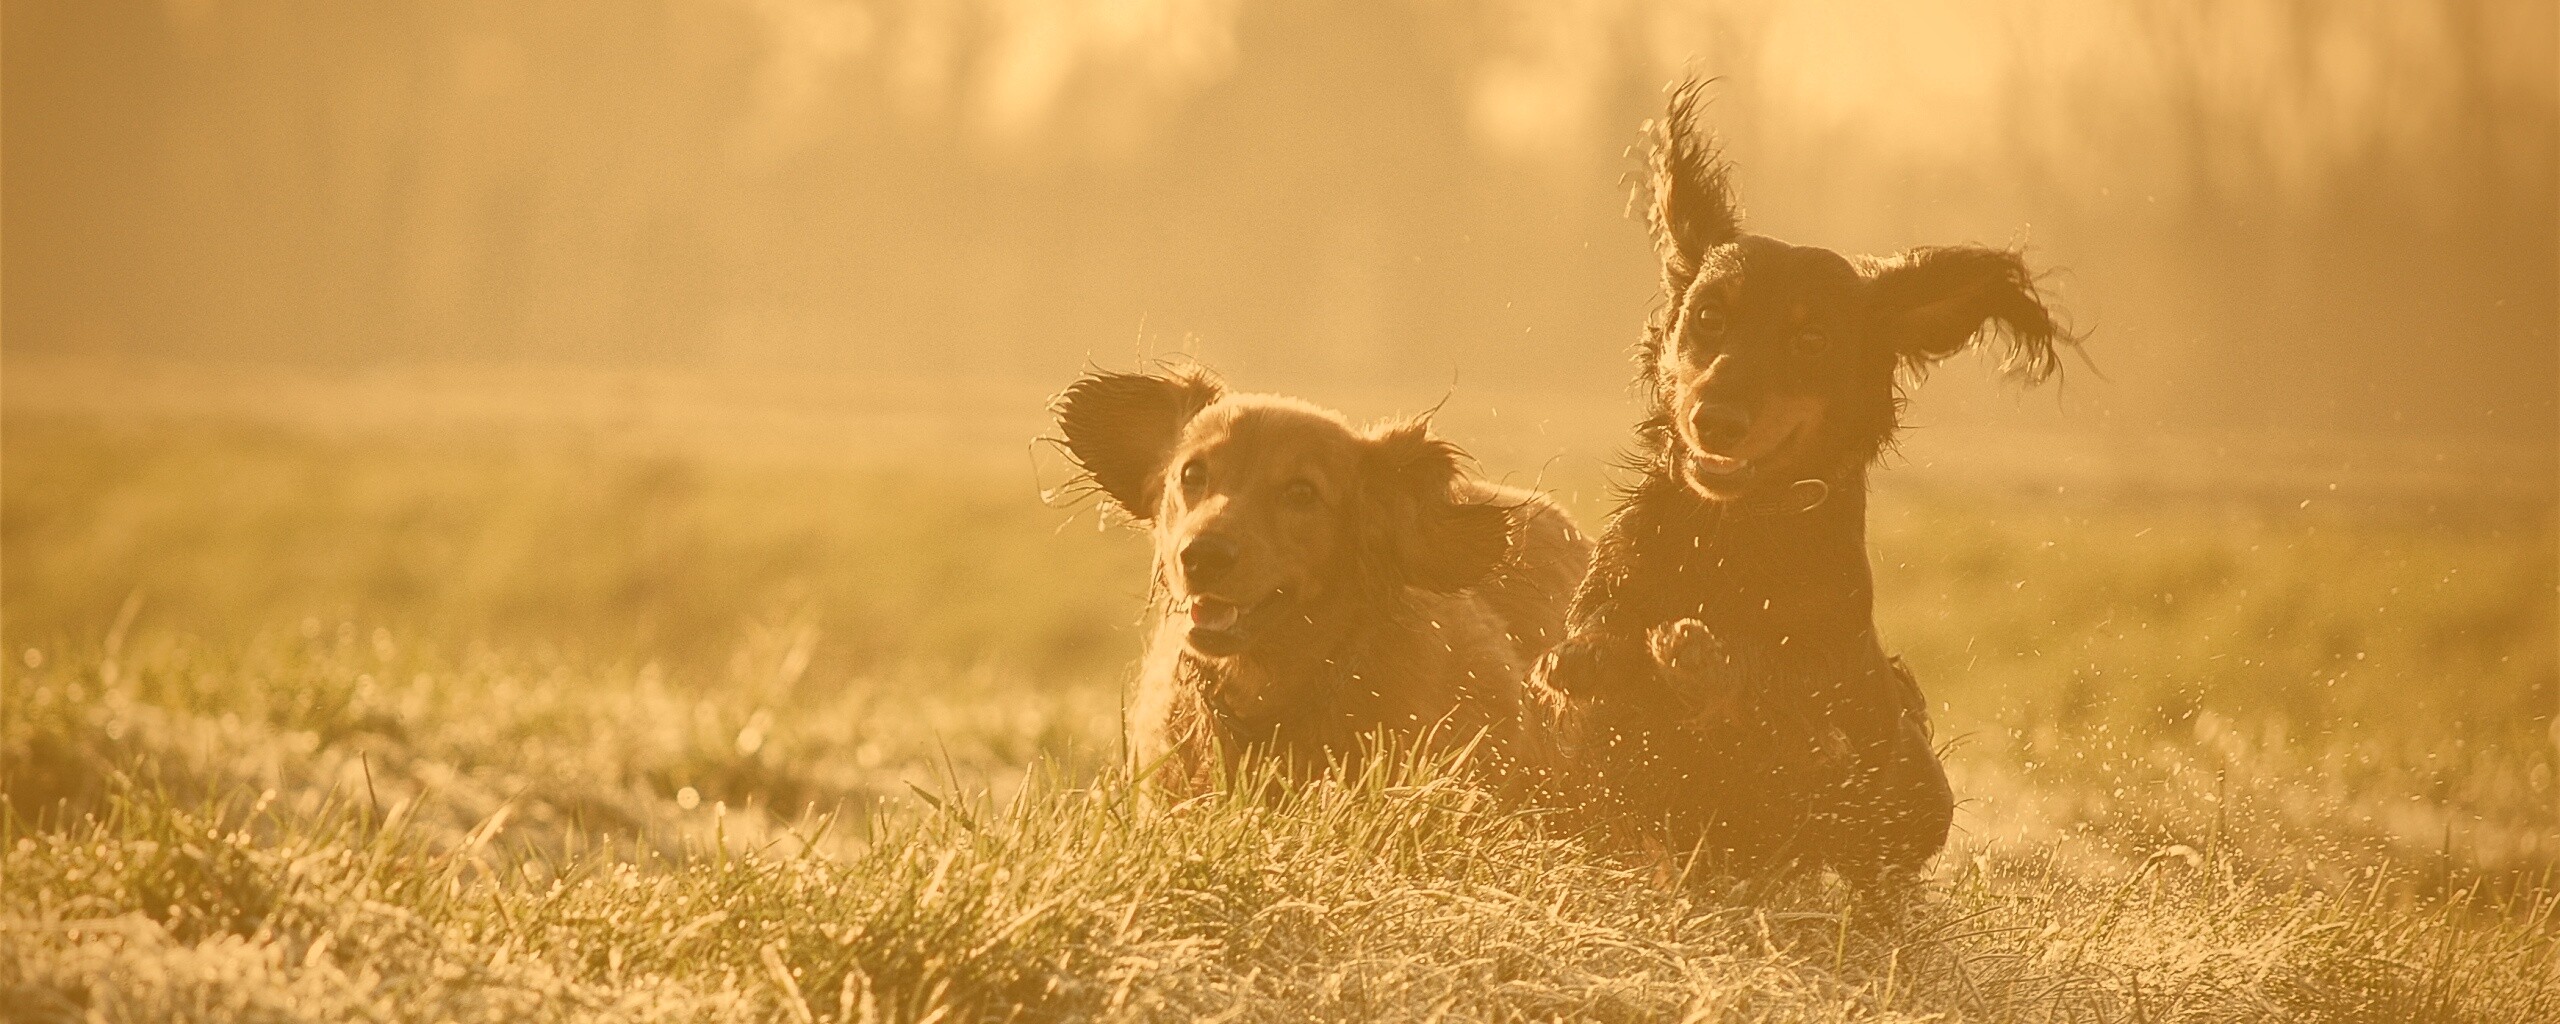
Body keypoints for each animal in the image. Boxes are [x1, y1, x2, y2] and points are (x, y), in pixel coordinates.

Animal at [1525, 83, 2068, 885]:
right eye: (1708, 317)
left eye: (1810, 340)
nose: (1714, 421)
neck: (1734, 533)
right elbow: (1599, 657)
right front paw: (1596, 655)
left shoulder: (1829, 742)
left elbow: (1780, 713)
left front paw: (1702, 661)